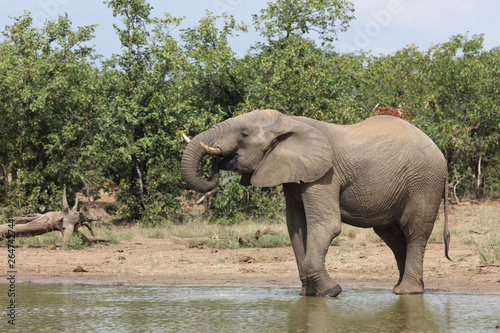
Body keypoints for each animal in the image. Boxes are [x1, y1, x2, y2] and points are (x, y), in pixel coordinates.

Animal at [182, 109, 452, 296]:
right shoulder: (294, 175)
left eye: (244, 134)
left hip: (424, 182)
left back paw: (407, 292)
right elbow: (295, 227)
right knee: (393, 236)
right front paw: (308, 295)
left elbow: (326, 224)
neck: (289, 121)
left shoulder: (325, 174)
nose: (217, 161)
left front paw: (332, 292)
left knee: (414, 231)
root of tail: (442, 156)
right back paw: (403, 288)